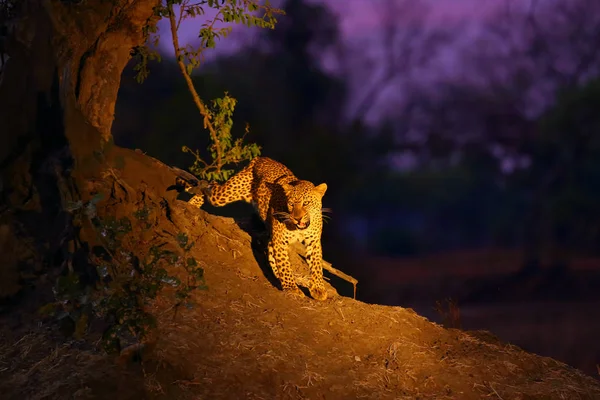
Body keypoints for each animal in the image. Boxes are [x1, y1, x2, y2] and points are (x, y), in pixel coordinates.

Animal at [186, 156, 328, 300]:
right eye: (291, 204)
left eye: (306, 203)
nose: (298, 218)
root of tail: (261, 158)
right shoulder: (280, 240)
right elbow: (285, 265)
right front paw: (292, 288)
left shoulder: (313, 241)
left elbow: (316, 265)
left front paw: (318, 289)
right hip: (224, 195)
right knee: (210, 185)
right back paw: (192, 201)